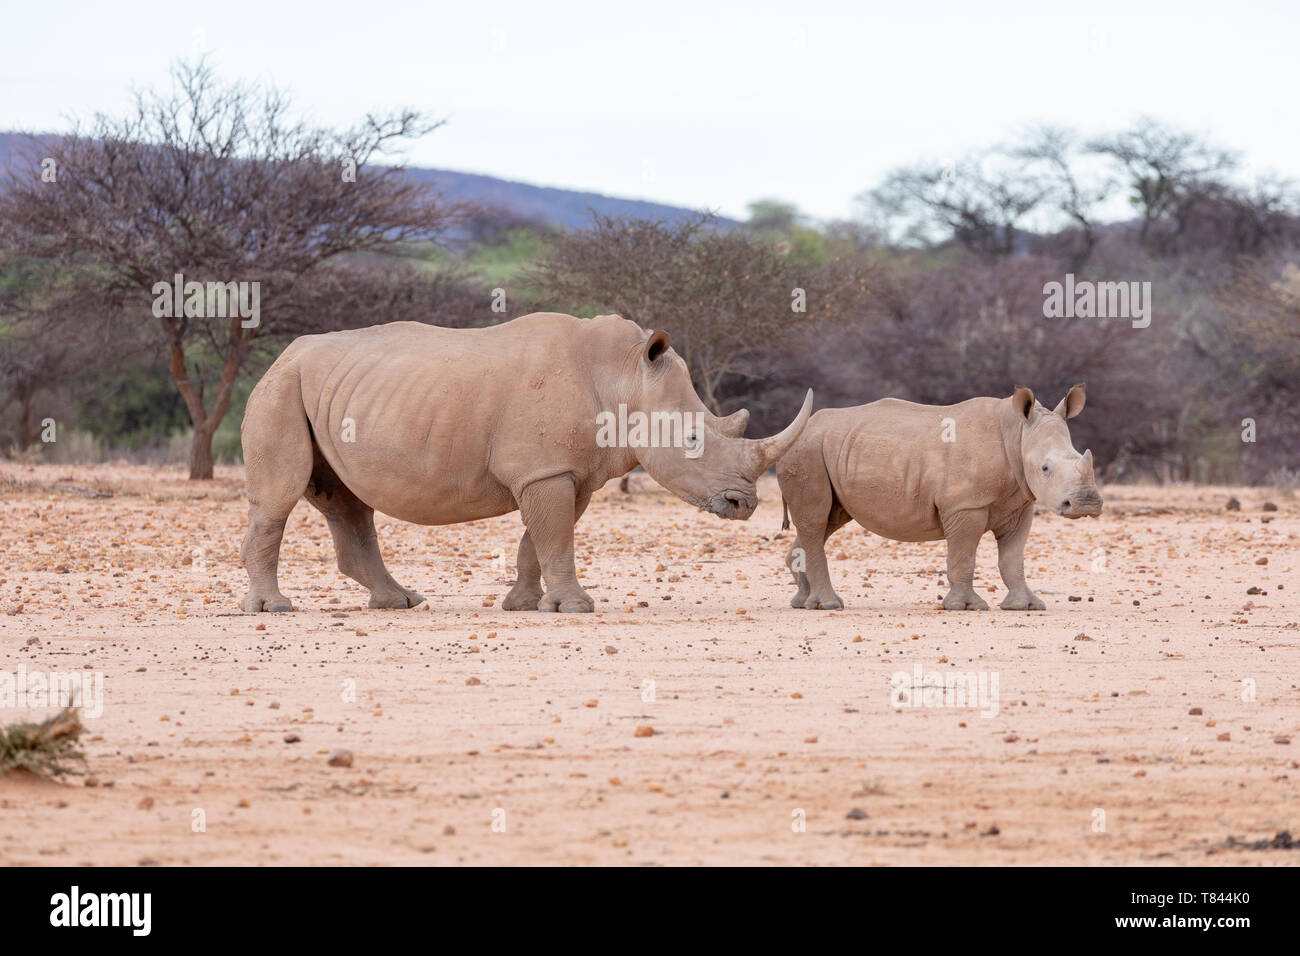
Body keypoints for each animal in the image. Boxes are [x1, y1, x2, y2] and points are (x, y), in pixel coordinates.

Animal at [241, 314, 811, 613]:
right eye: (692, 438)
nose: (743, 504)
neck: (626, 378)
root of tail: (281, 354)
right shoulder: (546, 469)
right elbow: (554, 535)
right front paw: (575, 607)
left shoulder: (568, 472)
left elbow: (539, 539)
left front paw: (522, 603)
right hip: (280, 387)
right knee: (281, 497)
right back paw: (275, 608)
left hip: (329, 391)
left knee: (346, 499)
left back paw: (401, 602)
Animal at [774, 387, 1102, 613]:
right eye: (1045, 468)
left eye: (1082, 457)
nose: (1086, 503)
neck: (1018, 434)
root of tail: (797, 429)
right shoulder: (964, 505)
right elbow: (963, 555)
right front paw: (966, 607)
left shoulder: (1020, 503)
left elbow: (1012, 557)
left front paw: (1025, 606)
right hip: (805, 453)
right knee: (816, 520)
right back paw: (828, 605)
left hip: (826, 450)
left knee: (825, 521)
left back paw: (803, 602)